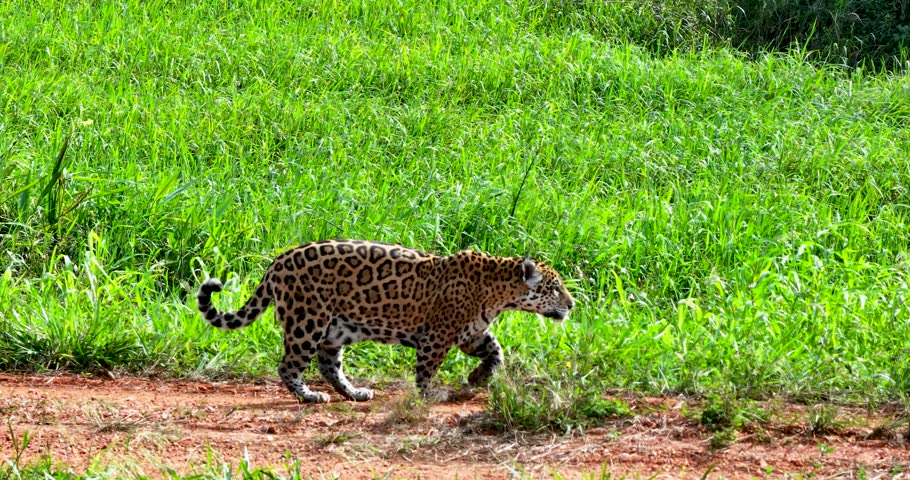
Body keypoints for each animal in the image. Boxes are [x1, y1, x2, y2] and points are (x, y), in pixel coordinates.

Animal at [196, 239, 575, 403]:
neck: (499, 291)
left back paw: (354, 393)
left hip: (334, 330)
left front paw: (478, 377)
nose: (571, 305)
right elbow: (427, 368)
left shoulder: (471, 334)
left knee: (328, 365)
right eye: (555, 288)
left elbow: (496, 352)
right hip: (308, 322)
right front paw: (430, 394)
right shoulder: (438, 335)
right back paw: (309, 396)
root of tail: (276, 262)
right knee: (289, 365)